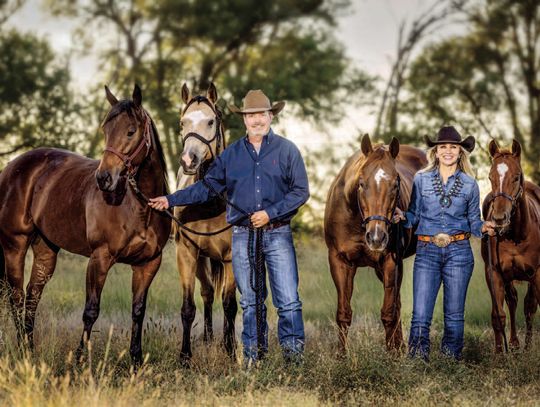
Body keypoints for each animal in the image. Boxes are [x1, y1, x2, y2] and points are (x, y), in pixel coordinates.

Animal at [0, 84, 171, 364]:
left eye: (131, 131)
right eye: (105, 129)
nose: (104, 178)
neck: (140, 206)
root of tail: (12, 166)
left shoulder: (148, 264)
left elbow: (138, 311)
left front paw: (136, 360)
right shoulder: (99, 258)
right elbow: (91, 310)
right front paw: (80, 360)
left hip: (45, 250)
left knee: (33, 296)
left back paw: (30, 350)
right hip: (15, 245)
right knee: (16, 296)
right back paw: (22, 352)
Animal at [324, 135, 426, 352]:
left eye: (395, 184)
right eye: (362, 183)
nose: (376, 237)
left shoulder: (390, 261)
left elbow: (388, 314)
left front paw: (392, 355)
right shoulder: (339, 261)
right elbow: (343, 314)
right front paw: (341, 356)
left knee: (396, 307)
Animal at [480, 139, 540, 350]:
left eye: (516, 177)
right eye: (490, 177)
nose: (499, 218)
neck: (516, 235)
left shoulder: (537, 273)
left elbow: (530, 307)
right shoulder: (494, 273)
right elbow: (498, 316)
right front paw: (500, 353)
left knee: (528, 306)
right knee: (513, 301)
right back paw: (513, 344)